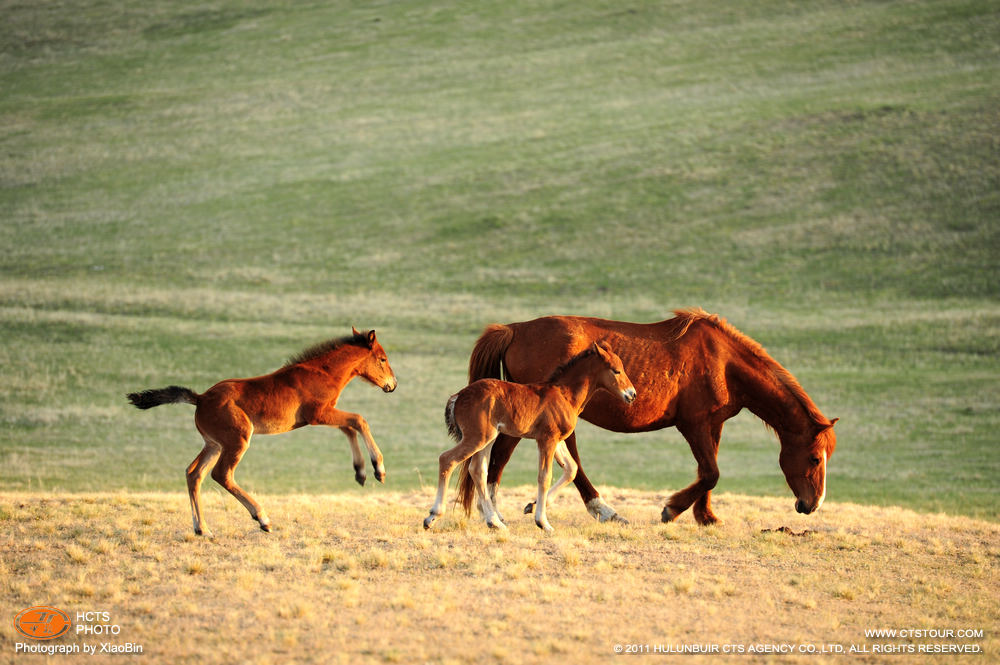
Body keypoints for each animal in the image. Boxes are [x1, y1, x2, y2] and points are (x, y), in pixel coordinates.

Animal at [129, 330, 398, 536]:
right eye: (383, 359)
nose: (392, 385)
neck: (322, 372)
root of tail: (200, 398)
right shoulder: (318, 414)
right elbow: (359, 420)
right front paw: (378, 469)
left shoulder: (322, 415)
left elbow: (349, 427)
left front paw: (361, 472)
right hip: (237, 439)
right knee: (221, 474)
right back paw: (262, 519)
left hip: (214, 444)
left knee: (194, 473)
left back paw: (202, 529)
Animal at [424, 340, 632, 532]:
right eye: (616, 371)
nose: (632, 394)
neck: (564, 394)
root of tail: (458, 396)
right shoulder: (547, 439)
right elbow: (544, 476)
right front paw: (543, 522)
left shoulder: (557, 440)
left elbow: (571, 468)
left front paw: (531, 507)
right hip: (477, 437)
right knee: (447, 459)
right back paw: (433, 516)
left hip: (488, 439)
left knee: (477, 470)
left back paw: (495, 522)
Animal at [458, 310, 836, 524]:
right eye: (815, 458)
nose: (812, 504)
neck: (723, 362)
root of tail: (514, 328)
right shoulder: (694, 425)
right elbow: (710, 473)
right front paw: (672, 509)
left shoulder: (712, 425)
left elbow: (708, 471)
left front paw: (706, 516)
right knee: (502, 458)